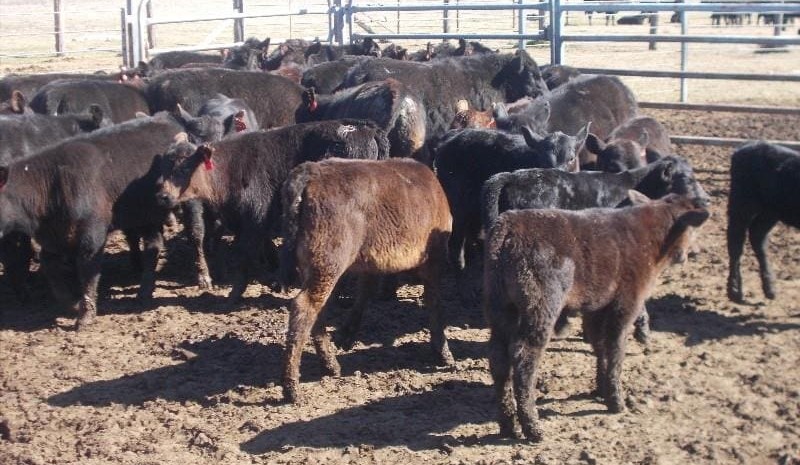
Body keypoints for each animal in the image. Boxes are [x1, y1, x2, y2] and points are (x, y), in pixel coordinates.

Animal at [0, 113, 184, 328]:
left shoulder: (91, 234)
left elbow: (88, 272)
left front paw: (85, 316)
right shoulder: (53, 238)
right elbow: (50, 265)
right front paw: (71, 303)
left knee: (152, 247)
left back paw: (144, 290)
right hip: (142, 215)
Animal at [154, 119, 390, 302]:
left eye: (184, 167)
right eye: (162, 166)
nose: (161, 196)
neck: (230, 169)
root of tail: (366, 127)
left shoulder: (255, 215)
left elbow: (246, 252)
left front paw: (236, 293)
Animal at [279, 157, 454, 404]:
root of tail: (310, 172)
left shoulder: (370, 261)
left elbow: (365, 290)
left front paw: (347, 333)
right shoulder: (434, 259)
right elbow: (435, 303)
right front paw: (444, 353)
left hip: (312, 266)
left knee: (317, 310)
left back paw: (330, 365)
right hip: (328, 262)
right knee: (303, 308)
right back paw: (292, 388)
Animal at [484, 193, 710, 441]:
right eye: (692, 230)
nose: (692, 253)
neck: (651, 238)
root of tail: (508, 225)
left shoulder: (596, 308)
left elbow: (599, 345)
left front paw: (600, 390)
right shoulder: (626, 303)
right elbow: (616, 349)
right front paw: (616, 401)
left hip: (500, 305)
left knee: (498, 357)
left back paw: (508, 425)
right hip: (540, 305)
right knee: (525, 357)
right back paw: (533, 427)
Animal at [727, 141, 800, 303]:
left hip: (770, 212)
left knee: (757, 236)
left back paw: (769, 288)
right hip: (742, 204)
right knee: (736, 241)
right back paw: (734, 291)